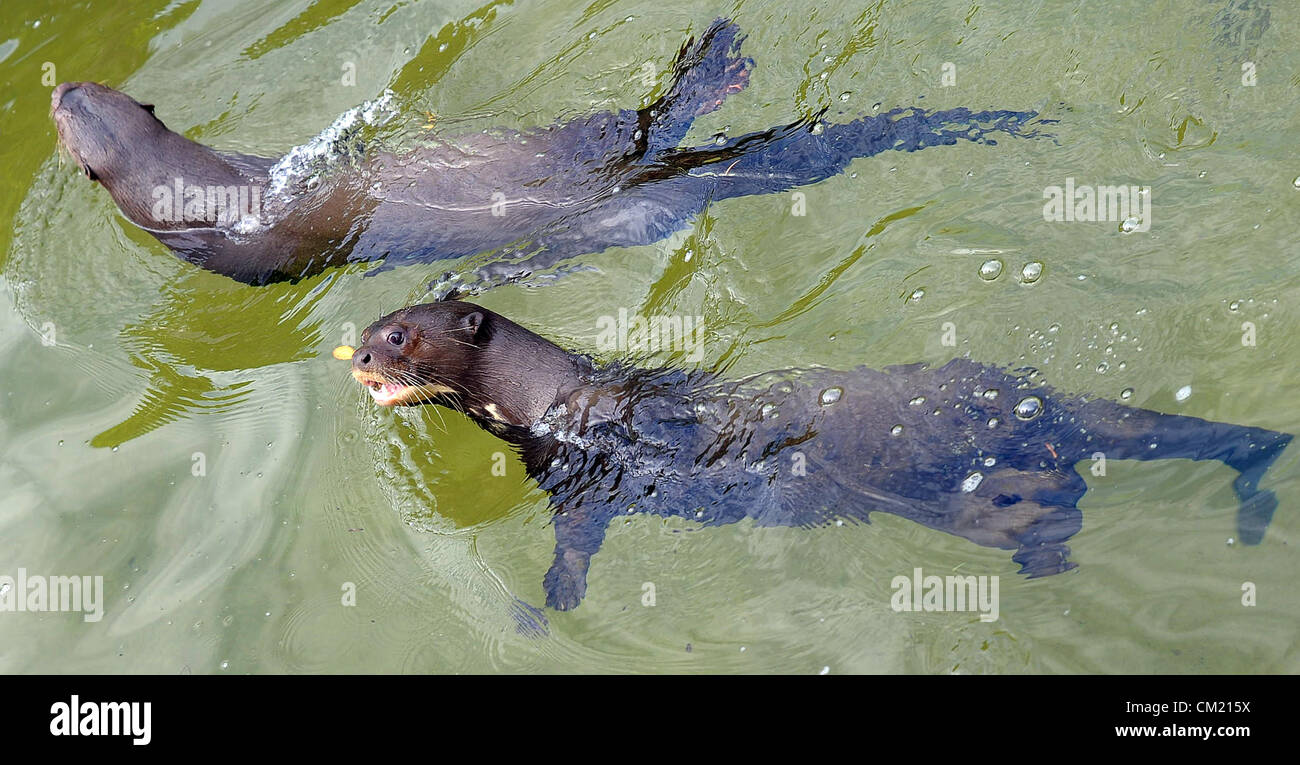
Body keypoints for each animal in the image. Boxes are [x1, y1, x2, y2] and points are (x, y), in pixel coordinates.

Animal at [53, 21, 1055, 290]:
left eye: (68, 110)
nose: (55, 88)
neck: (202, 185)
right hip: (579, 135)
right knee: (643, 120)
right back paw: (717, 63)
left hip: (603, 182)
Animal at [345, 301, 1289, 611]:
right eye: (370, 327)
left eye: (400, 335)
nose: (355, 355)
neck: (556, 401)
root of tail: (1027, 394)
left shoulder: (589, 477)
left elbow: (577, 541)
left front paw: (557, 596)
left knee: (1046, 489)